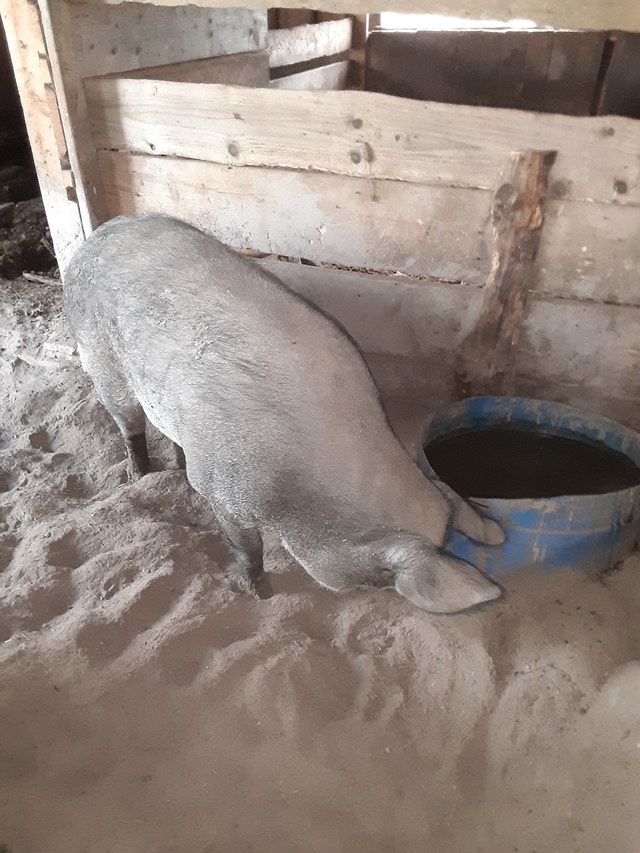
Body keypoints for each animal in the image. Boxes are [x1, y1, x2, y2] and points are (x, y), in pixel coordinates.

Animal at [64, 213, 504, 613]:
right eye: (376, 581)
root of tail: (95, 238)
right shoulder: (223, 490)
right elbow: (248, 547)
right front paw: (261, 594)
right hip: (102, 361)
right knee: (128, 425)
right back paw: (138, 475)